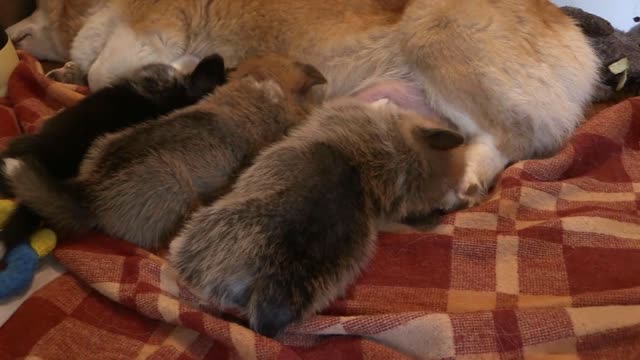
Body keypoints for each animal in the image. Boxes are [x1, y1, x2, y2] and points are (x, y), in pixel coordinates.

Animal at [5, 0, 600, 208]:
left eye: (35, 6)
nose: (7, 31)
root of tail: (578, 42)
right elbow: (88, 69)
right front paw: (66, 71)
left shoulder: (148, 30)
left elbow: (106, 68)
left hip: (435, 36)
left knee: (512, 137)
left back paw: (471, 177)